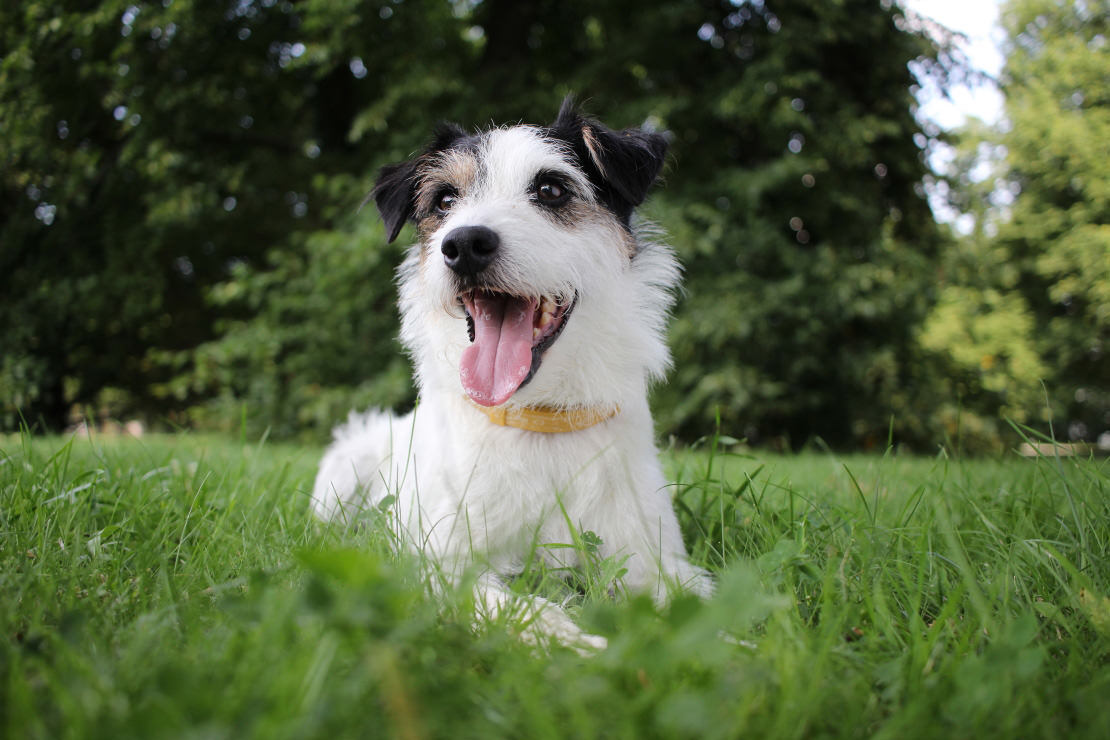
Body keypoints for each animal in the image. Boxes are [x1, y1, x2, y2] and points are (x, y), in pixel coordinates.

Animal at [313, 97, 710, 647]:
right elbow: (521, 609)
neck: (537, 418)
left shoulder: (655, 561)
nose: (463, 245)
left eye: (551, 189)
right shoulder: (443, 568)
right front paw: (583, 647)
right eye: (444, 200)